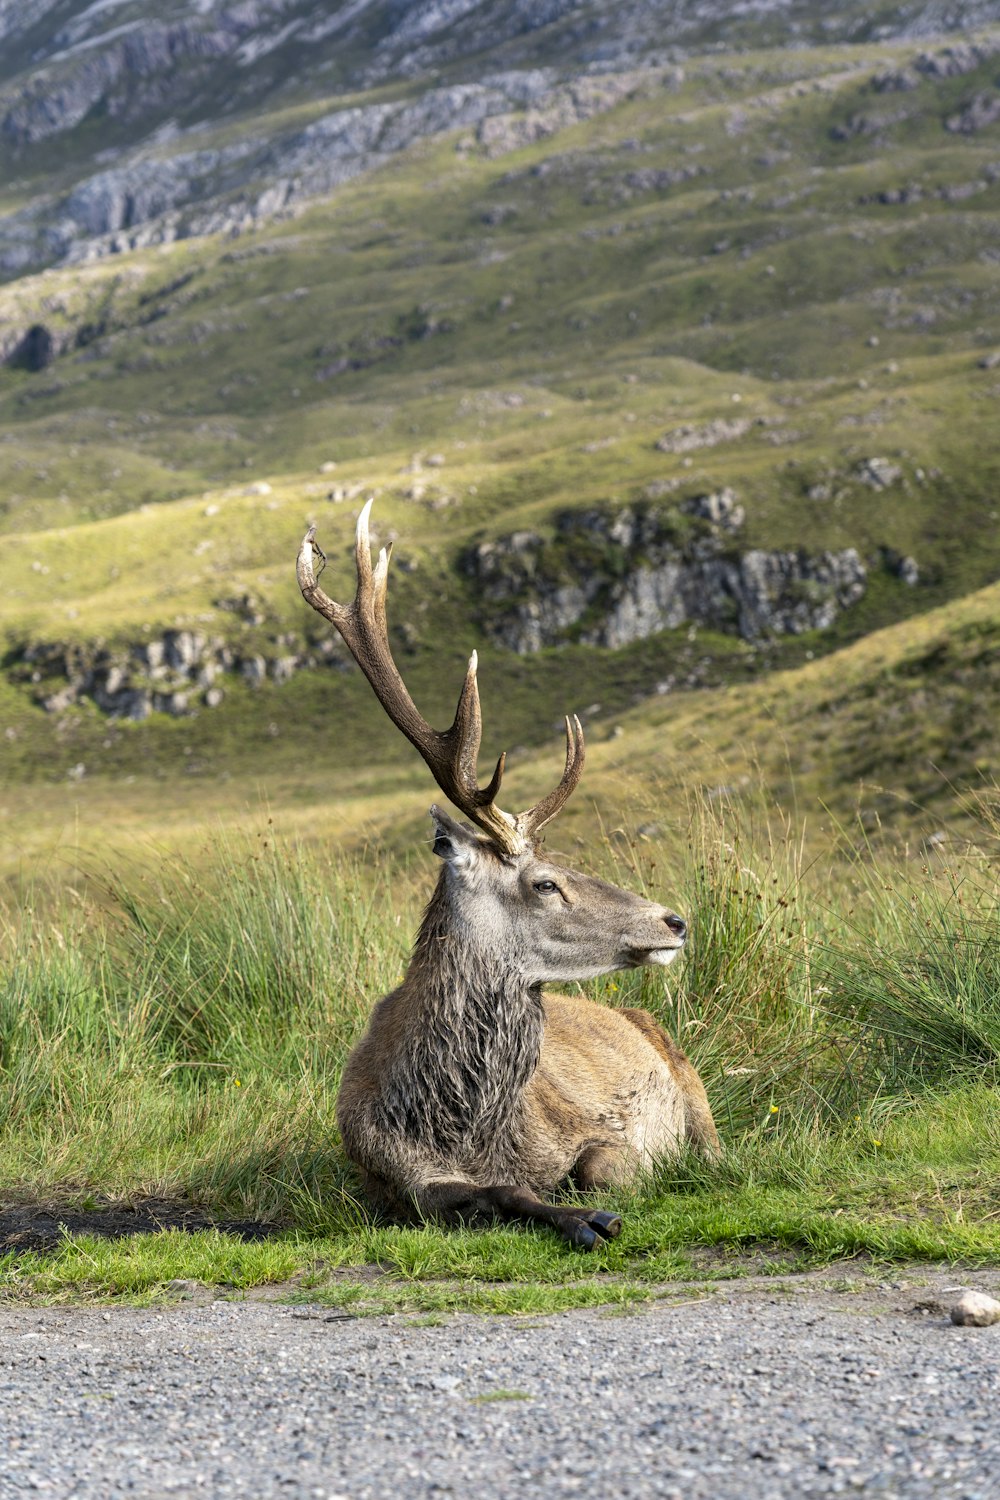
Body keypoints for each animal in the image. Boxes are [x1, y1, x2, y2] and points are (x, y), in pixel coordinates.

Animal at [296, 504, 719, 1254]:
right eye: (546, 883)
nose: (674, 919)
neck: (464, 1128)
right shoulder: (387, 1175)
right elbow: (480, 1194)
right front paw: (580, 1219)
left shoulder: (597, 1134)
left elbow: (597, 1169)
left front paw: (595, 1207)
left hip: (691, 1079)